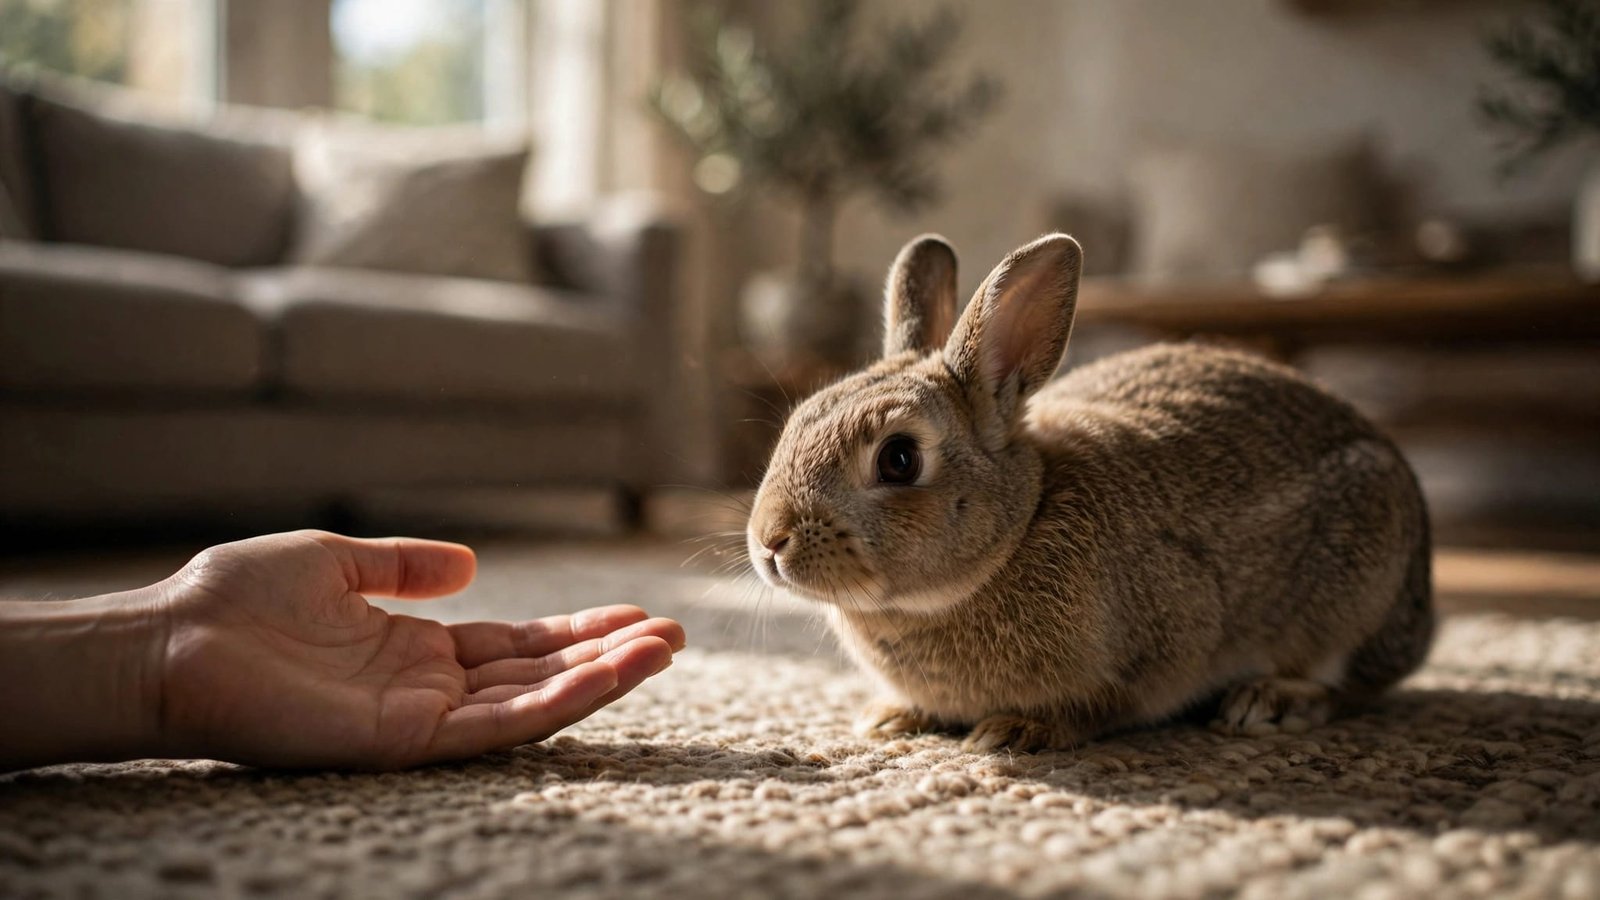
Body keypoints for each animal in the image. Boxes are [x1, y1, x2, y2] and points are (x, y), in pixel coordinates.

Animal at [745, 233, 1433, 752]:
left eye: (899, 459)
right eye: (799, 418)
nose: (769, 541)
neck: (1020, 525)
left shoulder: (1163, 643)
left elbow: (1105, 705)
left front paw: (1014, 731)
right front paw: (891, 717)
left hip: (1357, 582)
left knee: (1353, 680)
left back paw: (1269, 701)